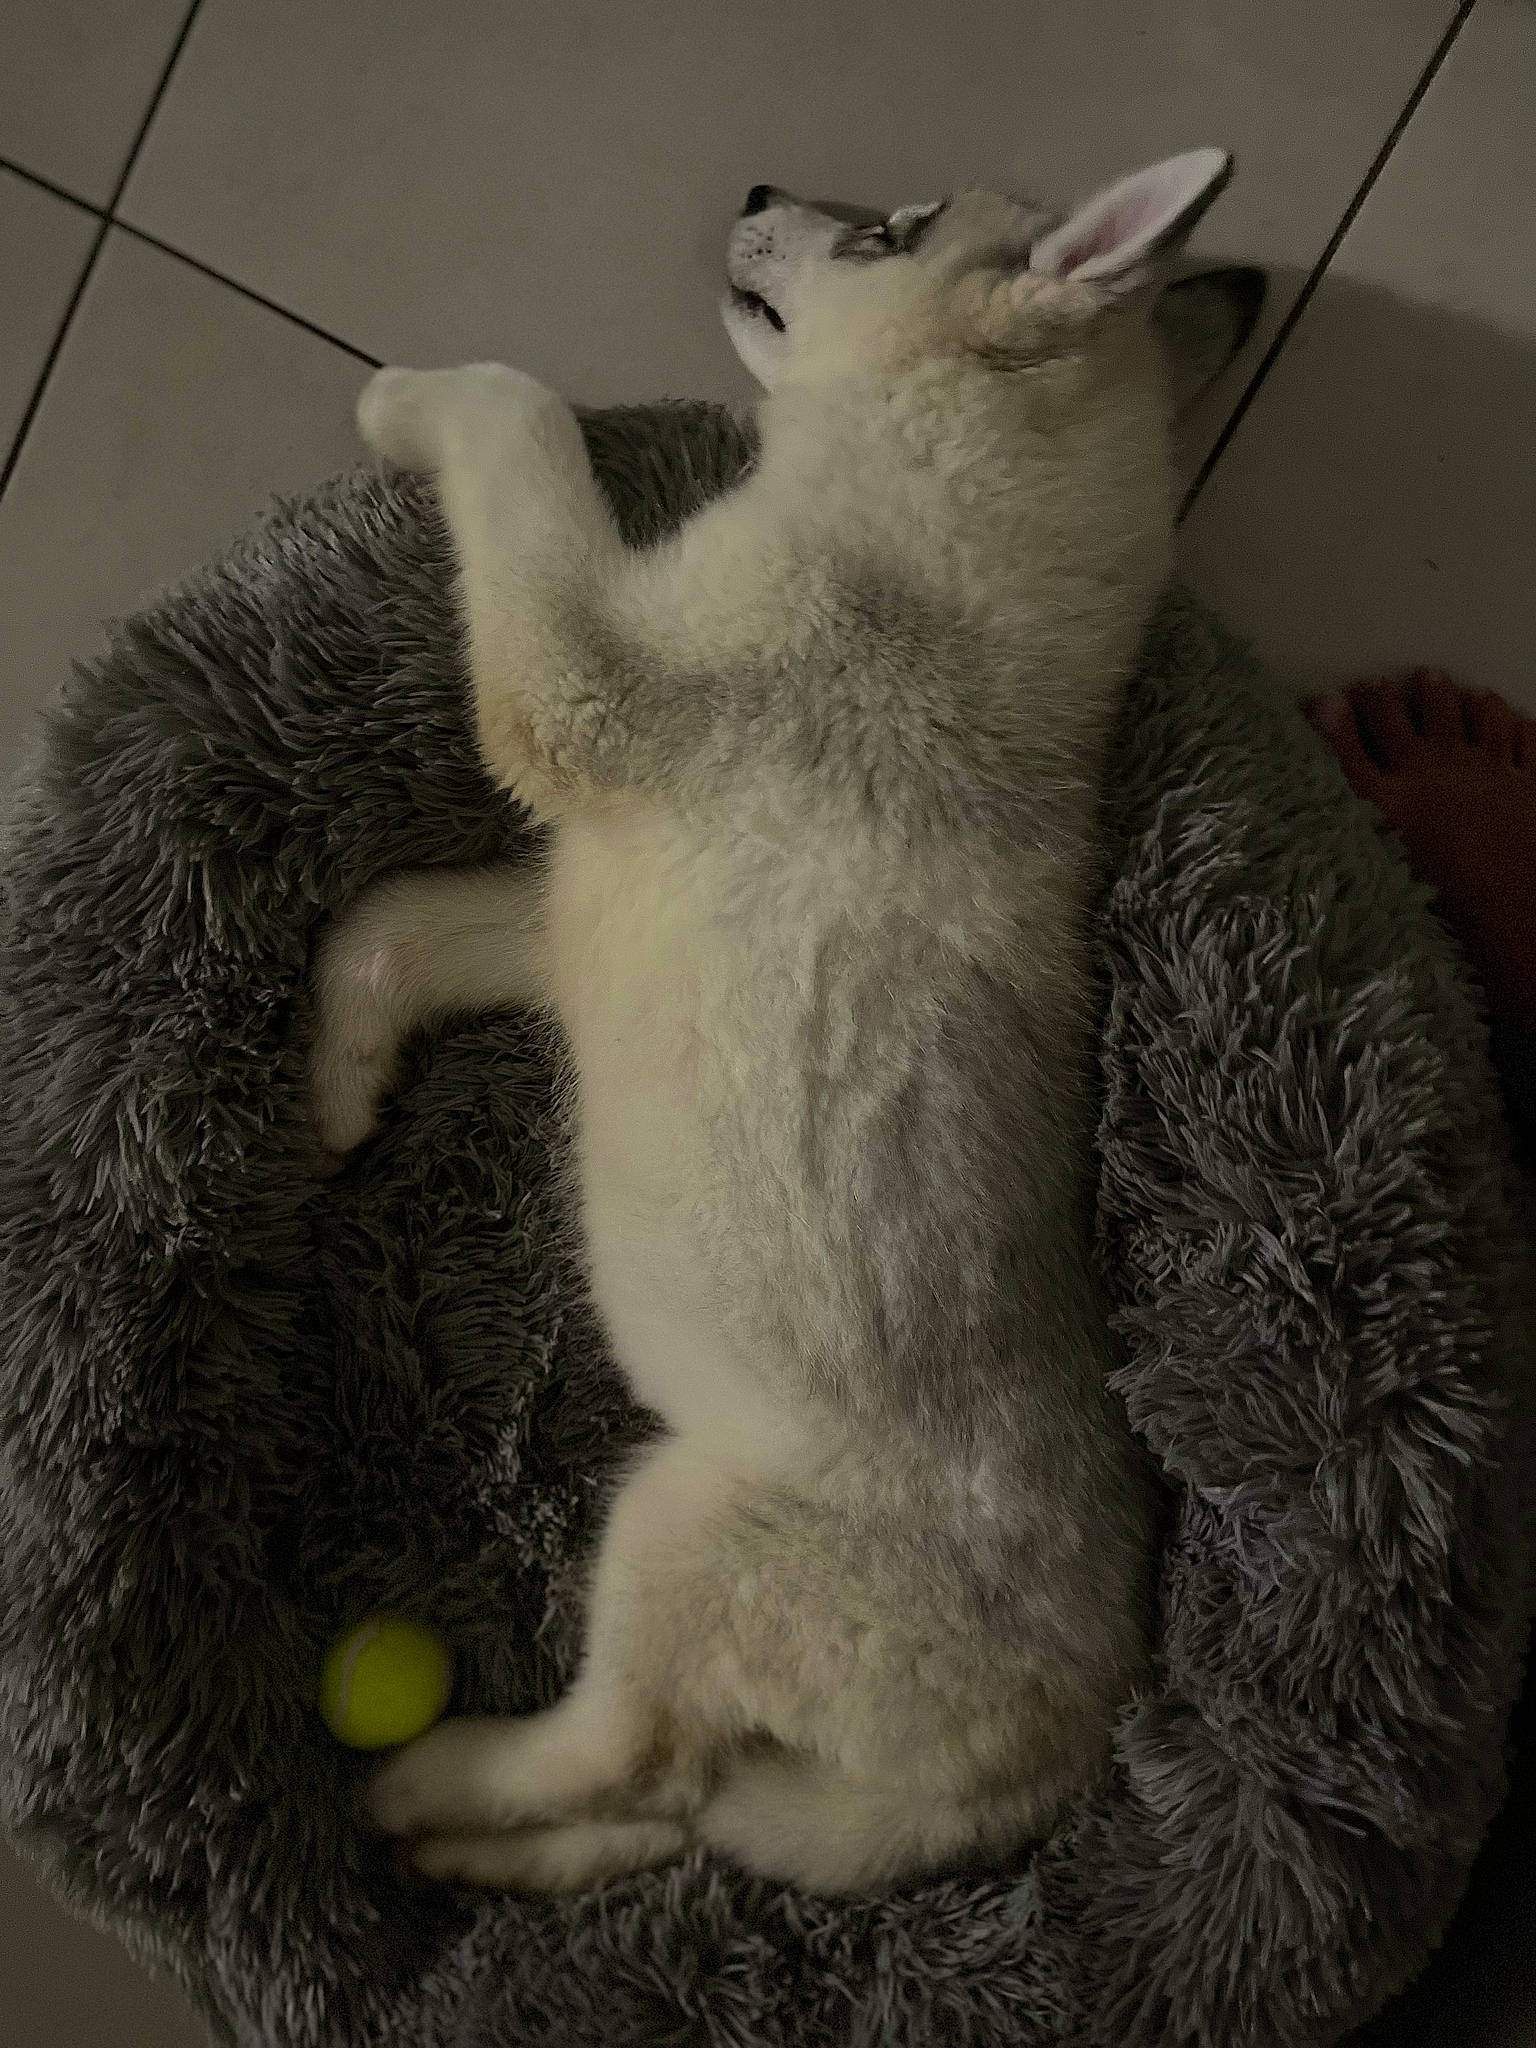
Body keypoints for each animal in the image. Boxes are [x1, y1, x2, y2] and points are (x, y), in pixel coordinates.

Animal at [309, 150, 1246, 1895]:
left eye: (893, 232)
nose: (757, 183)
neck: (925, 545)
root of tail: (1056, 1755)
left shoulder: (587, 698)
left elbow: (519, 415)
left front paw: (406, 397)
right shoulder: (565, 916)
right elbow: (388, 925)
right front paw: (334, 1080)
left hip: (686, 1529)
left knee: (631, 1751)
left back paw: (428, 1784)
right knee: (674, 1809)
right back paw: (485, 1859)